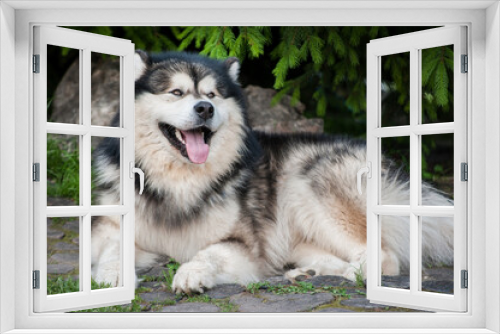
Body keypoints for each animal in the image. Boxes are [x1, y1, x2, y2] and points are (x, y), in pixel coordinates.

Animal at [90, 51, 454, 294]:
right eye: (176, 93)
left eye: (212, 95)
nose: (205, 108)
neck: (180, 182)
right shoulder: (110, 226)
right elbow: (113, 248)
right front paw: (114, 276)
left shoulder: (244, 245)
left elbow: (208, 253)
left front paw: (191, 273)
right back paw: (308, 273)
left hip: (305, 182)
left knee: (384, 257)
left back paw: (352, 275)